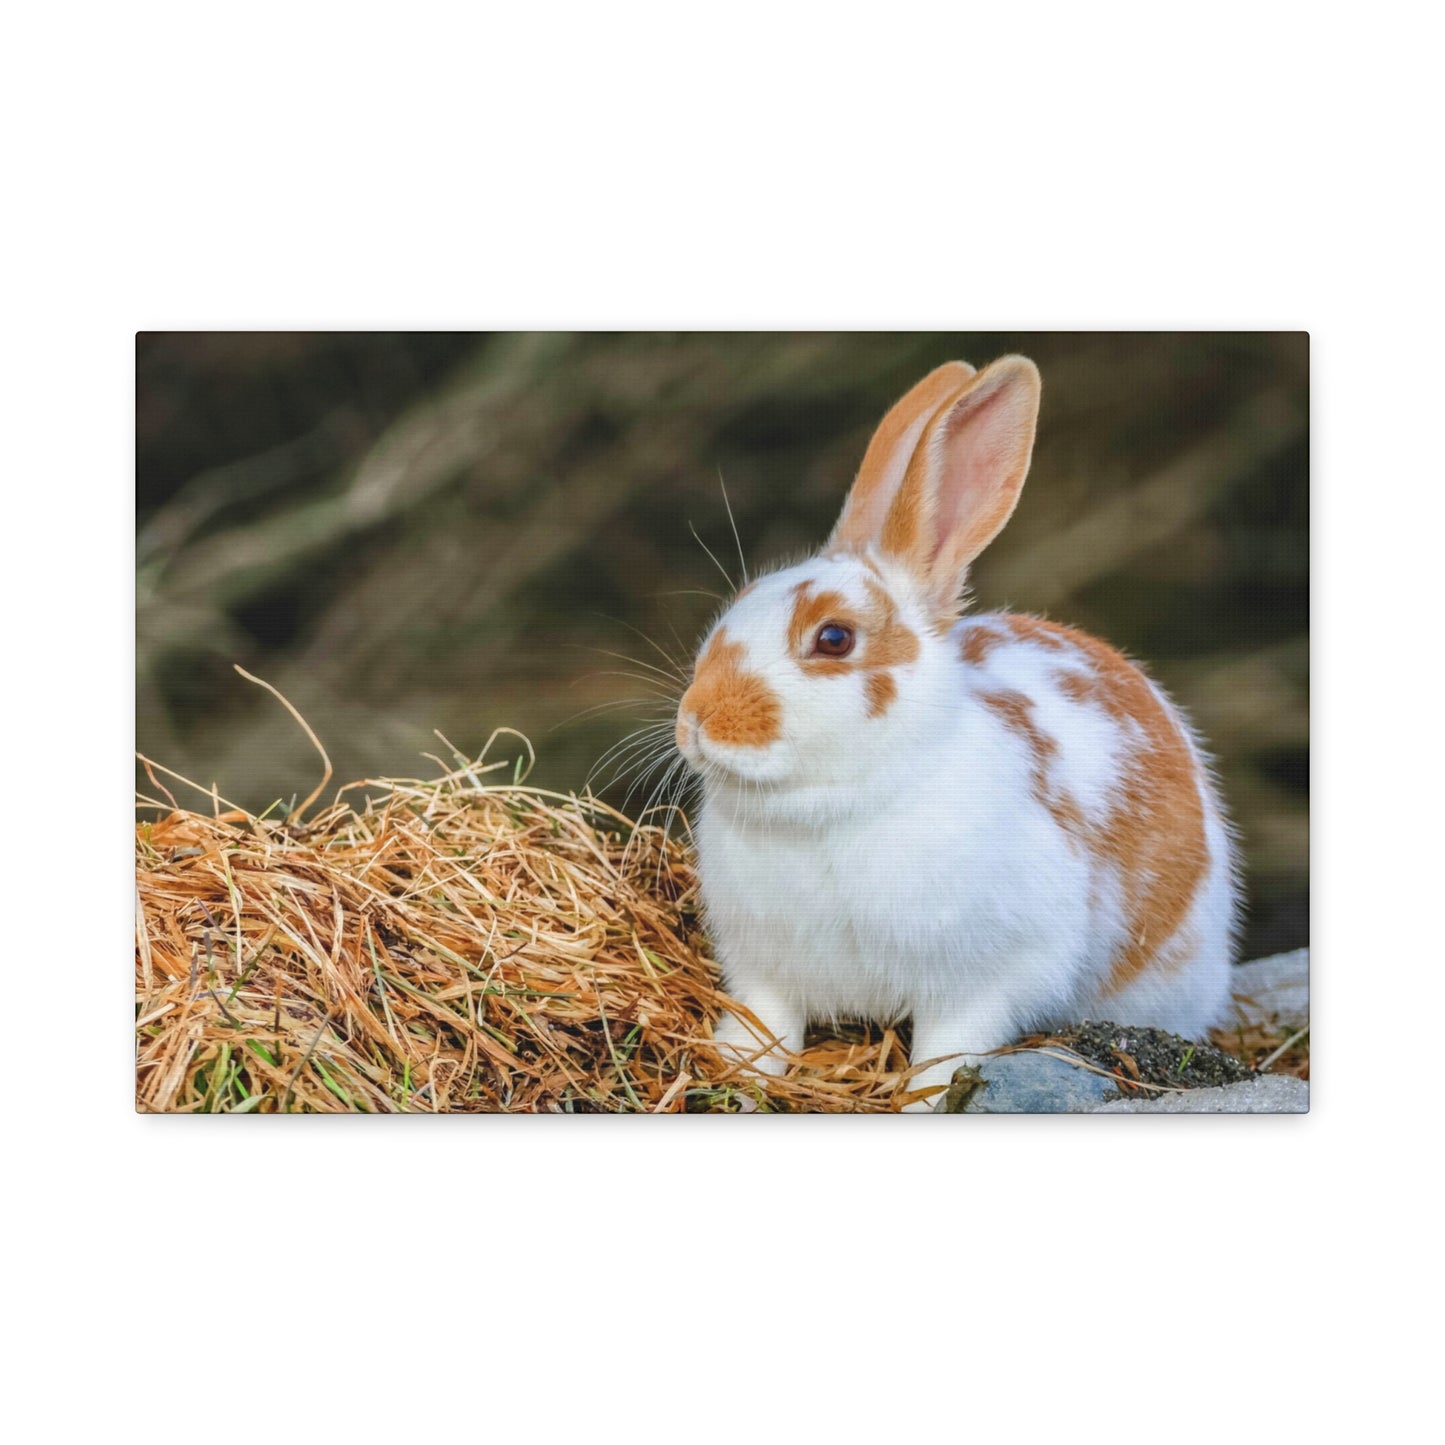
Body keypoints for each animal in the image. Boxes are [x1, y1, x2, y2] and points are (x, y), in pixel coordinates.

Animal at [673, 356, 1240, 1109]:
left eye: (833, 638)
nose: (695, 719)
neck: (826, 812)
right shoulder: (763, 971)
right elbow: (763, 1031)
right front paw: (738, 1078)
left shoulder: (984, 981)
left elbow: (946, 1049)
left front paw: (929, 1096)